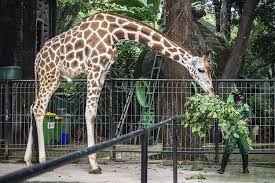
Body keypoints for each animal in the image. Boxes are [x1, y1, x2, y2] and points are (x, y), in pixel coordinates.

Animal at [23, 12, 215, 173]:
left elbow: (93, 114)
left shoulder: (103, 72)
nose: (210, 90)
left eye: (210, 69)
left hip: (52, 79)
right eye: (201, 69)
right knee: (39, 108)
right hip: (50, 76)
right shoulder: (94, 68)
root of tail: (37, 59)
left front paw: (93, 162)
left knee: (33, 106)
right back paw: (42, 160)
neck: (115, 31)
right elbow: (90, 113)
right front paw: (94, 165)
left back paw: (28, 160)